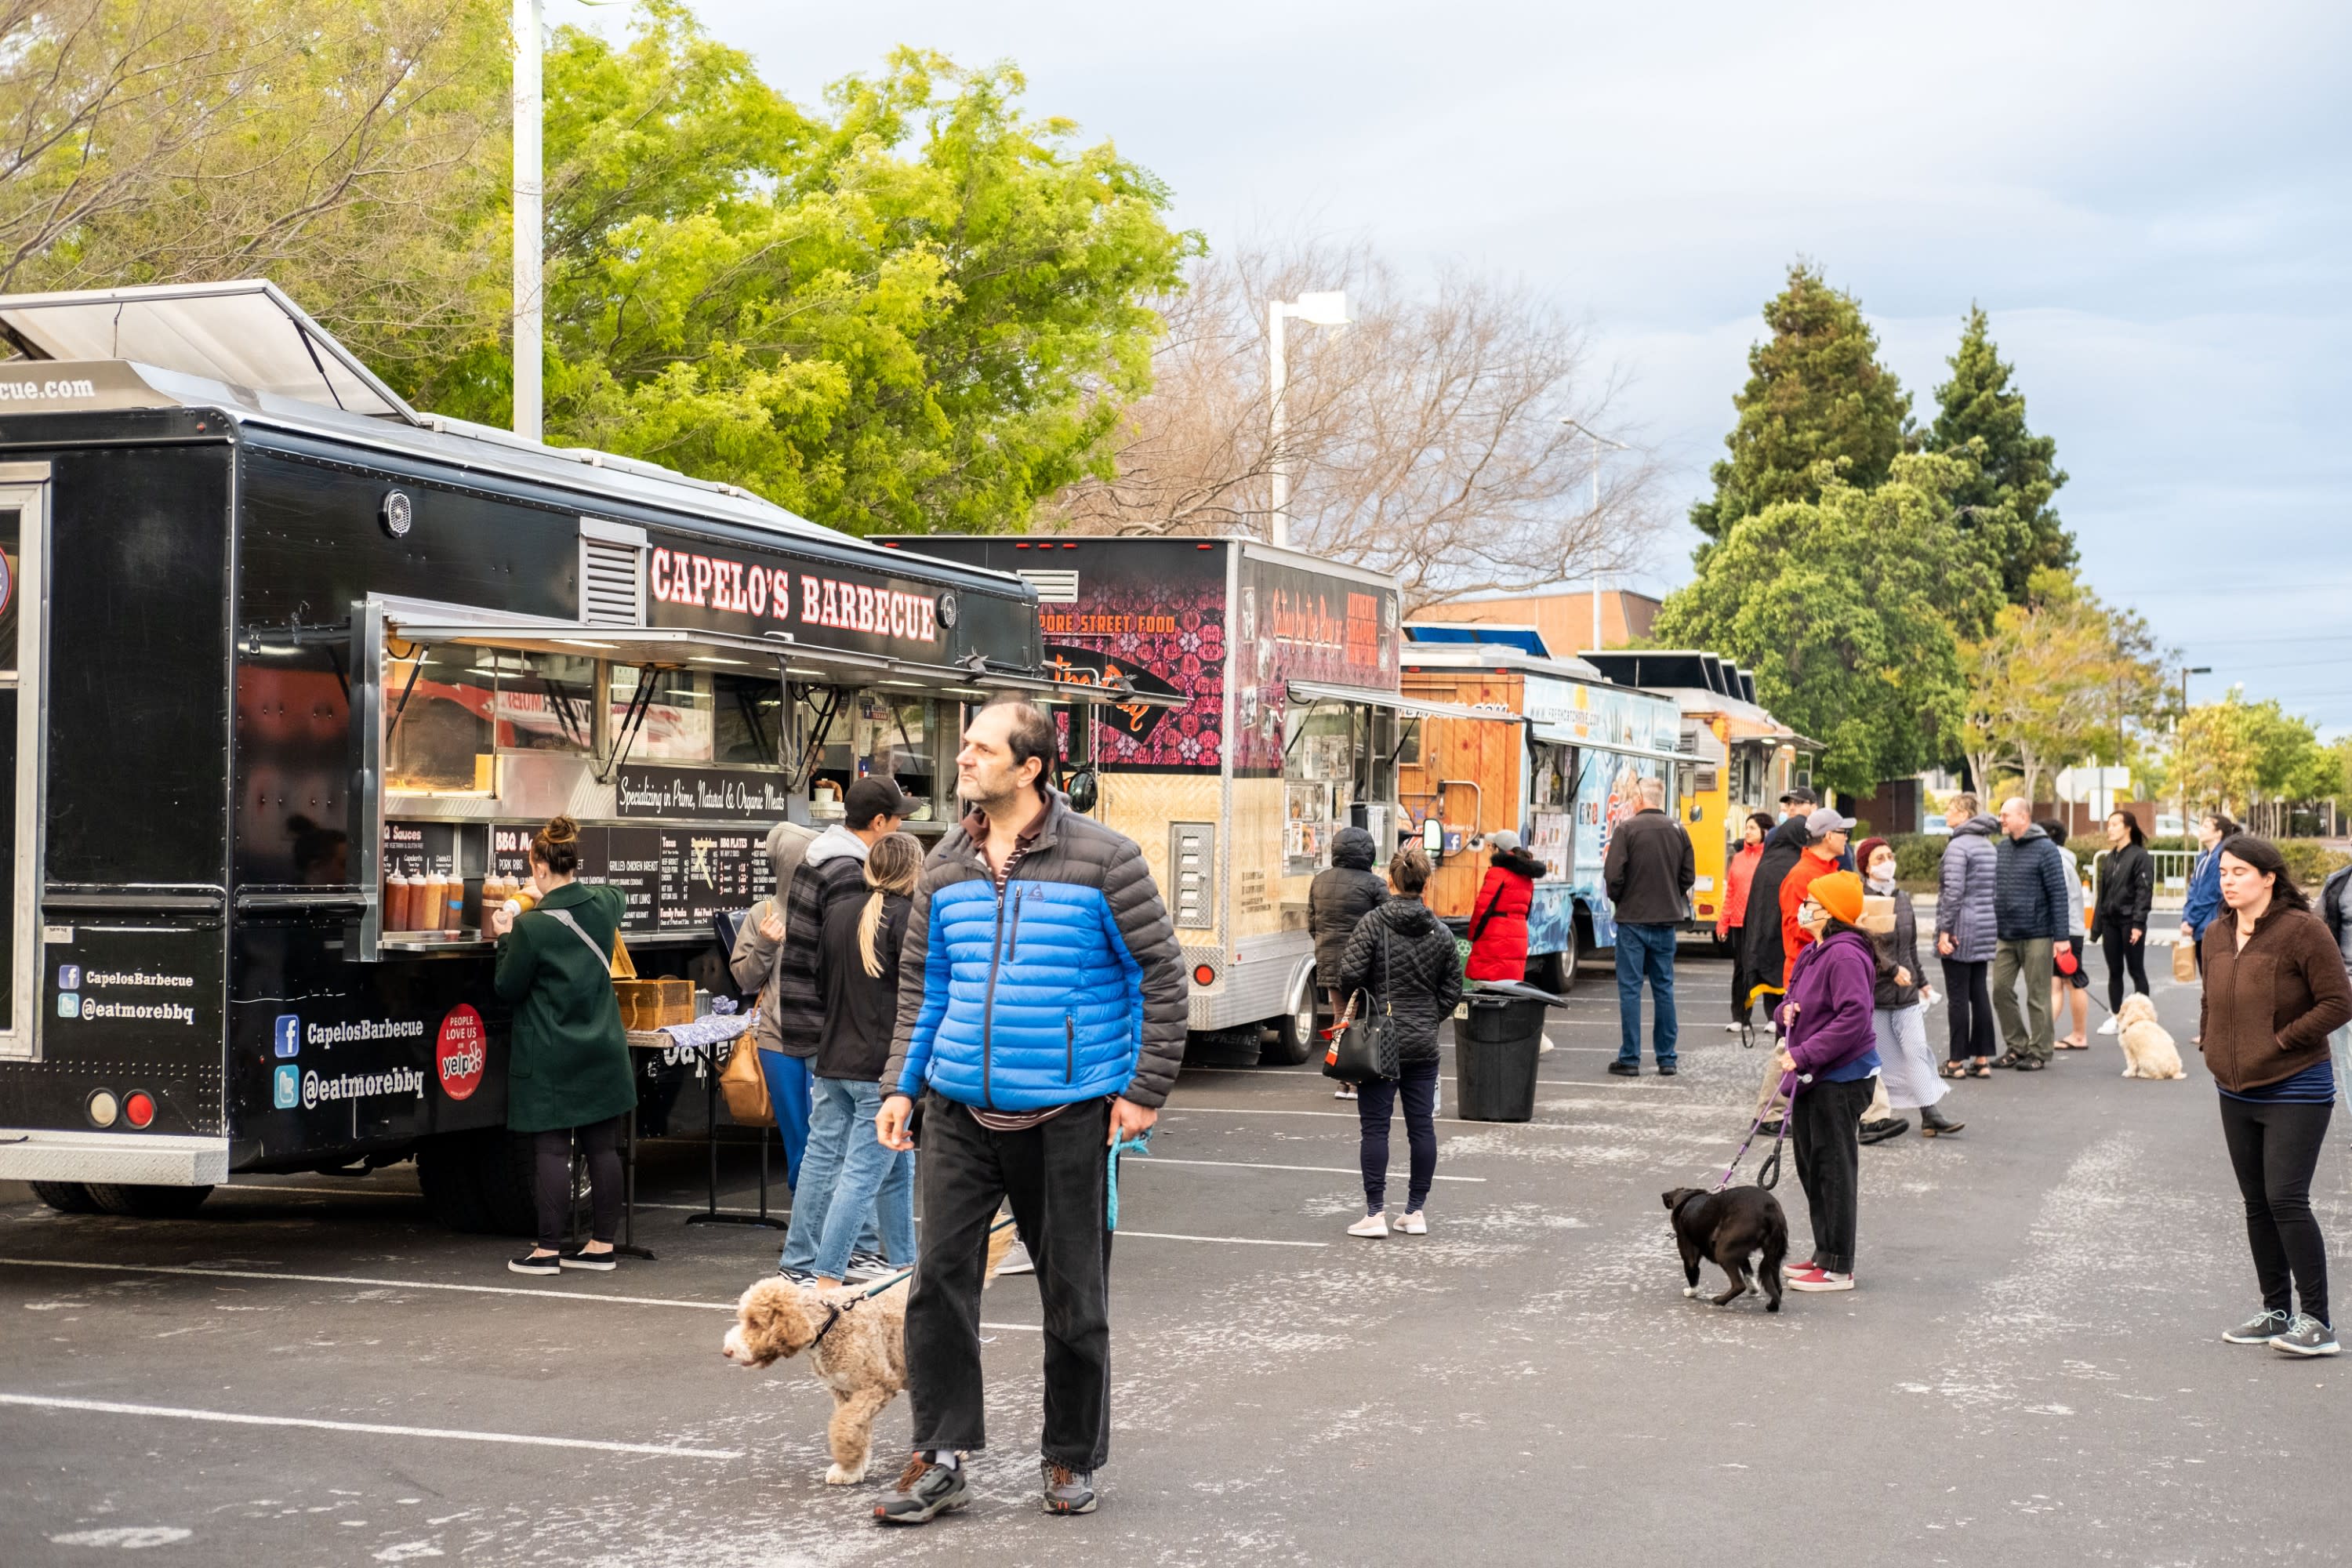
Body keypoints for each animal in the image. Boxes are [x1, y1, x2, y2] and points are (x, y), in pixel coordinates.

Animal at [1665, 1189, 1788, 1316]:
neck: (1688, 1200)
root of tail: (1770, 1210)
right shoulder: (1741, 1253)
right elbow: (1748, 1270)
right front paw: (1753, 1288)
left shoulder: (1689, 1255)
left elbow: (1692, 1275)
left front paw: (1690, 1293)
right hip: (1773, 1255)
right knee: (1778, 1287)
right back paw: (1772, 1306)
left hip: (1722, 1252)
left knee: (1739, 1285)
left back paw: (1719, 1300)